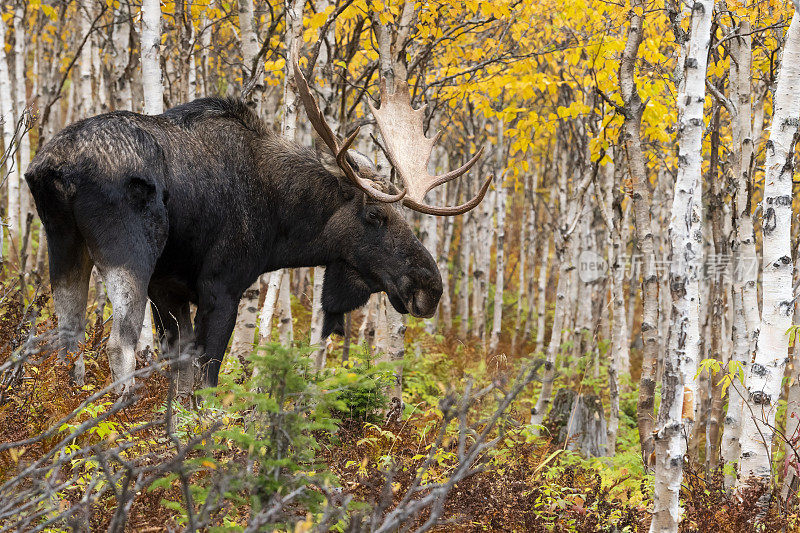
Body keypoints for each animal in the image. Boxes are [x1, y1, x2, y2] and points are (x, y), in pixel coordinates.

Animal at [25, 62, 490, 392]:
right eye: (377, 216)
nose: (430, 286)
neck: (279, 225)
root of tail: (54, 168)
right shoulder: (221, 286)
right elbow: (207, 379)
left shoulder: (169, 288)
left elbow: (180, 379)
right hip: (129, 252)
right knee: (117, 344)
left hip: (64, 245)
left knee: (68, 336)